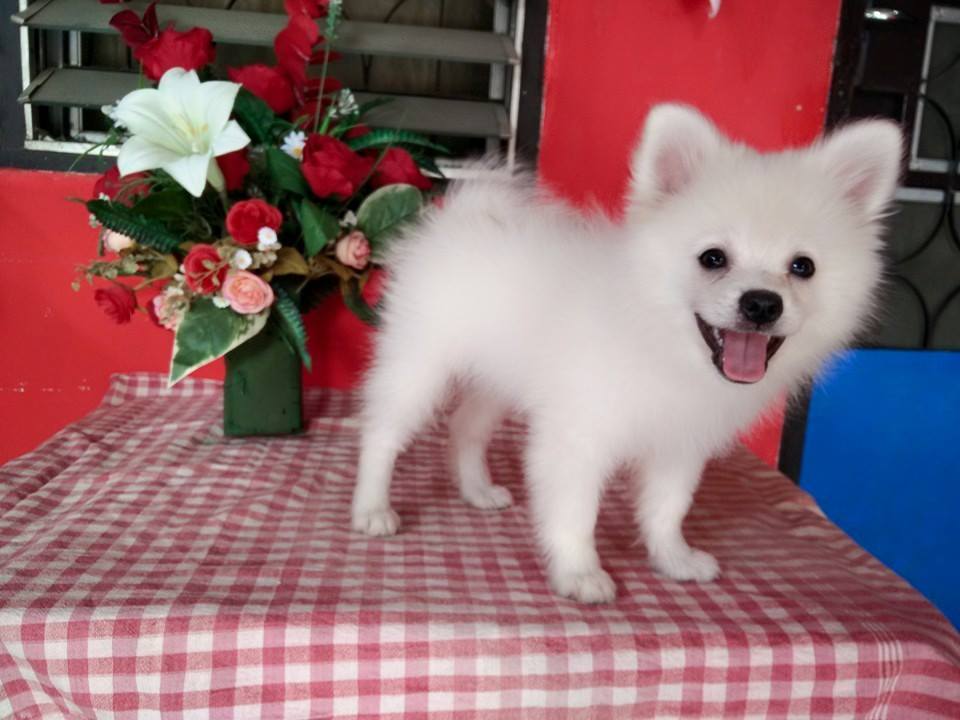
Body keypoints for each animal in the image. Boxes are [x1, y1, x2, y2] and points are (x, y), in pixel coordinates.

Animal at [351, 104, 902, 603]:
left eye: (803, 267)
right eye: (713, 258)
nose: (763, 303)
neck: (665, 342)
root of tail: (464, 215)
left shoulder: (681, 443)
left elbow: (668, 508)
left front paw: (673, 559)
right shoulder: (577, 437)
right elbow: (576, 513)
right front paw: (579, 574)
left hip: (496, 378)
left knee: (465, 427)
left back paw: (478, 491)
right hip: (420, 362)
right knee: (382, 433)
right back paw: (372, 508)